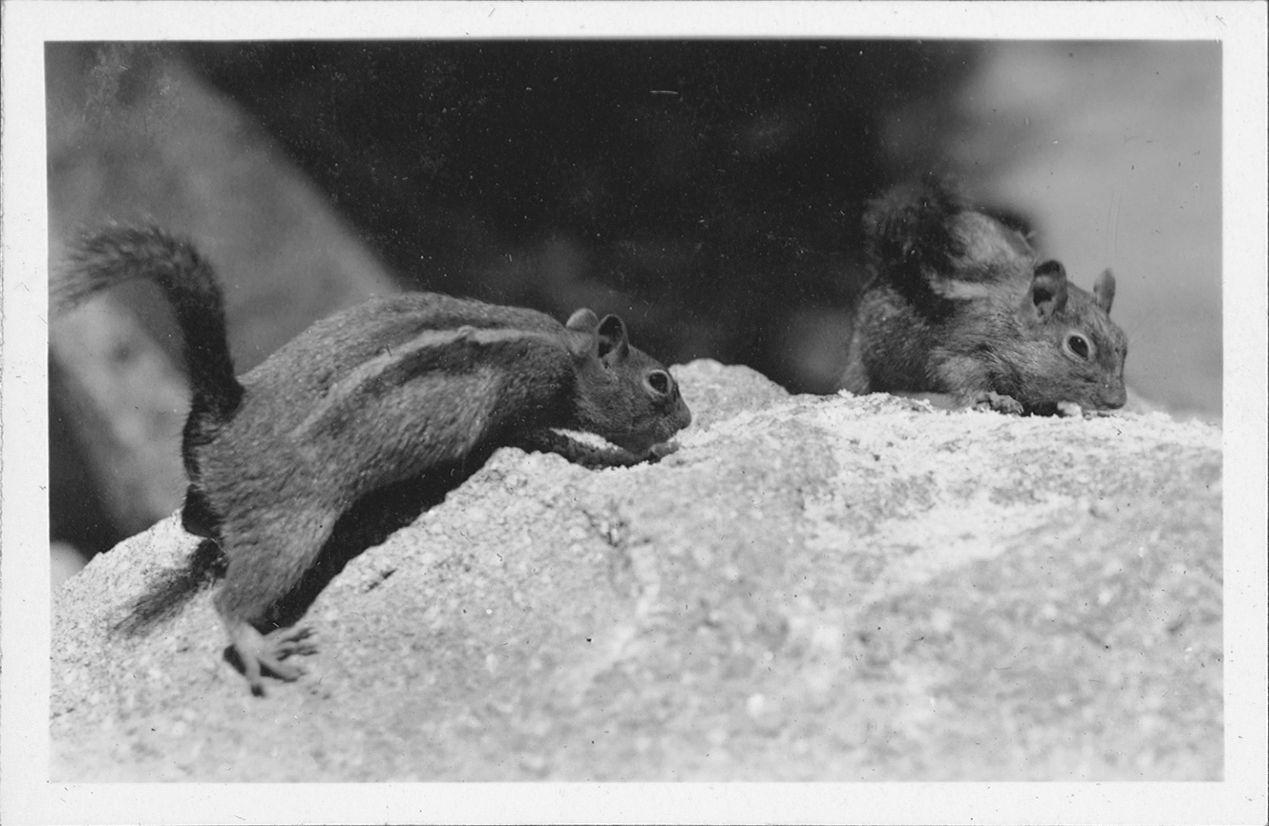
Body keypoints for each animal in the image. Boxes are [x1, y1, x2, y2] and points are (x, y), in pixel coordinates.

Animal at [57, 226, 692, 696]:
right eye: (660, 382)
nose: (687, 420)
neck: (566, 349)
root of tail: (226, 407)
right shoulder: (523, 404)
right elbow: (548, 435)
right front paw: (626, 453)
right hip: (293, 528)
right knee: (228, 600)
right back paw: (260, 647)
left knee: (194, 516)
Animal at [839, 180, 1128, 415]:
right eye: (1078, 345)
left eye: (1123, 343)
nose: (1118, 401)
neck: (1010, 322)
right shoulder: (963, 346)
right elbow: (955, 372)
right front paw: (994, 398)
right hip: (863, 356)